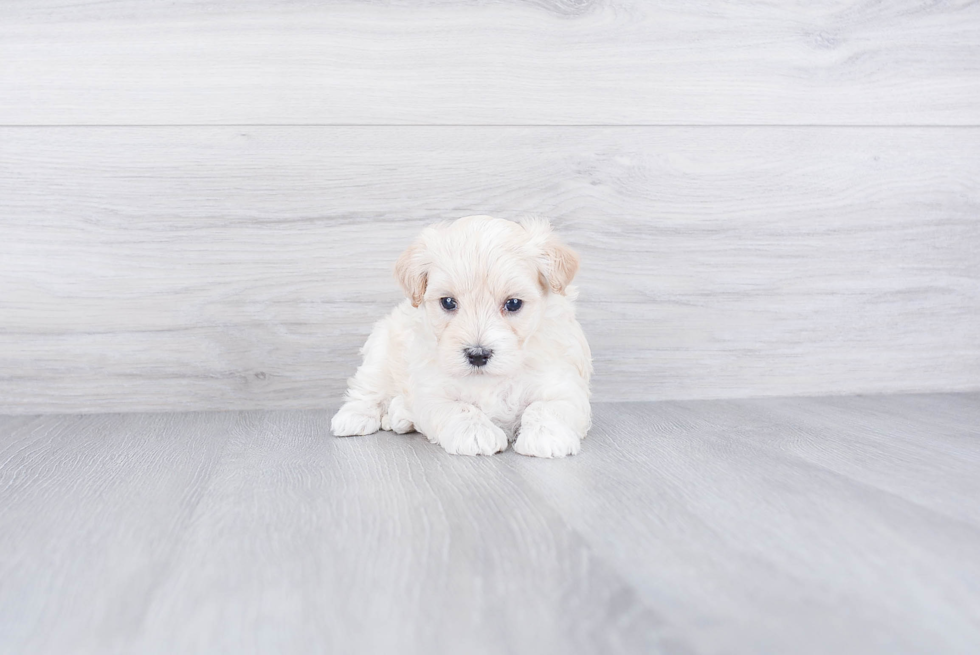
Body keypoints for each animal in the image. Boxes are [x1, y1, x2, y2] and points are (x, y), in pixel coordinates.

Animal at [330, 215, 592, 456]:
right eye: (448, 302)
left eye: (514, 303)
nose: (477, 355)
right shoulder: (432, 390)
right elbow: (457, 408)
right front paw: (476, 434)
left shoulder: (561, 382)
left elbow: (548, 406)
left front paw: (546, 436)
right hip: (381, 349)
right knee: (367, 388)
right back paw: (353, 418)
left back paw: (400, 415)